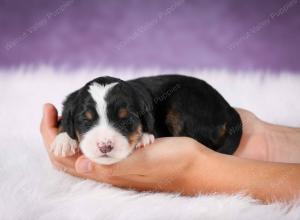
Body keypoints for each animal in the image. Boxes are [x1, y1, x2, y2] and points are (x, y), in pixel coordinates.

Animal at [51, 75, 243, 164]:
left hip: (184, 103)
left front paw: (143, 137)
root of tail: (227, 107)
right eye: (86, 120)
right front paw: (63, 141)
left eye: (126, 120)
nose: (105, 146)